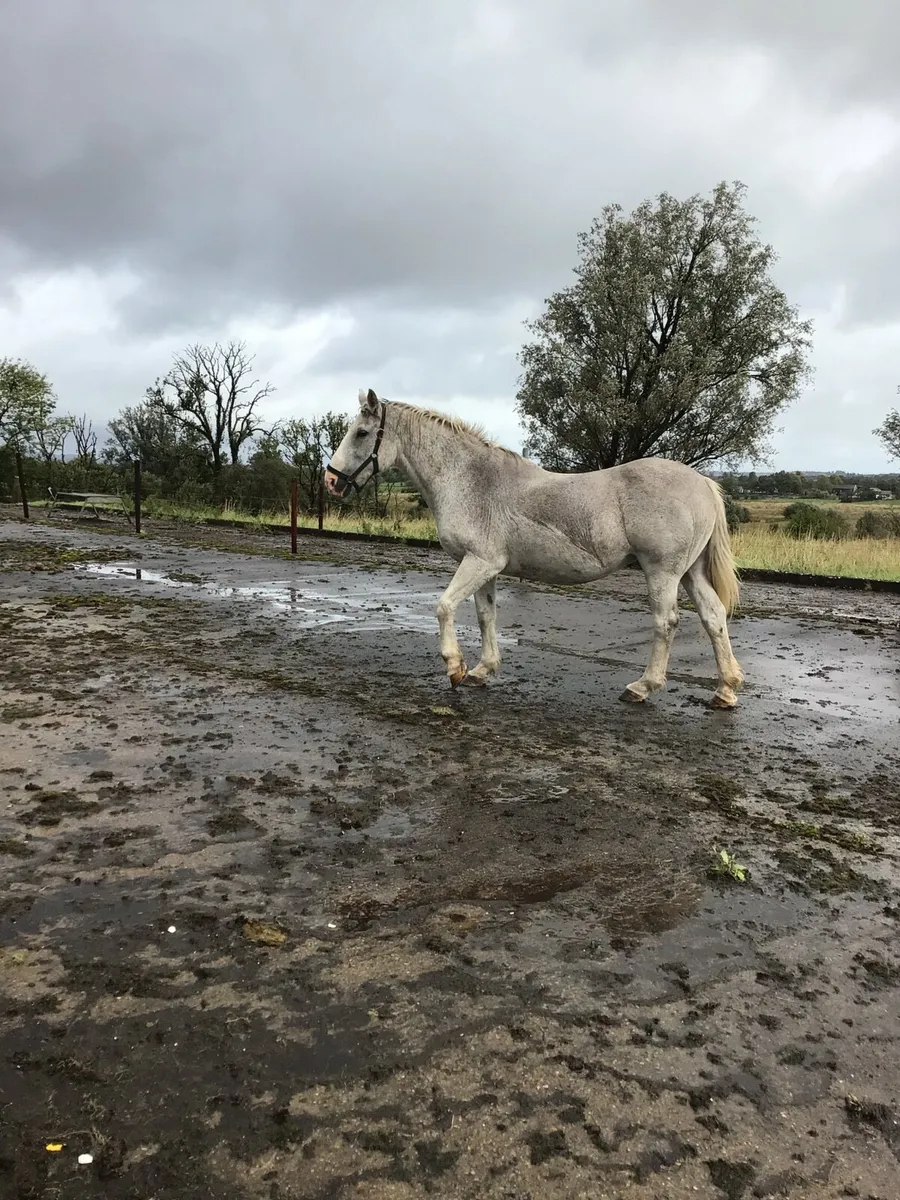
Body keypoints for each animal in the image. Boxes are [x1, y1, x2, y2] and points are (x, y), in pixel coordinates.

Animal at [325, 389, 744, 709]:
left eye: (362, 432)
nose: (331, 480)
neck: (470, 480)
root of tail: (703, 482)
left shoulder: (478, 562)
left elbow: (444, 607)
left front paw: (455, 668)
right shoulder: (485, 567)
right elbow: (486, 617)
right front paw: (482, 670)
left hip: (663, 571)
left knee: (666, 622)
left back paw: (642, 687)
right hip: (690, 572)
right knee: (713, 617)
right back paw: (725, 691)